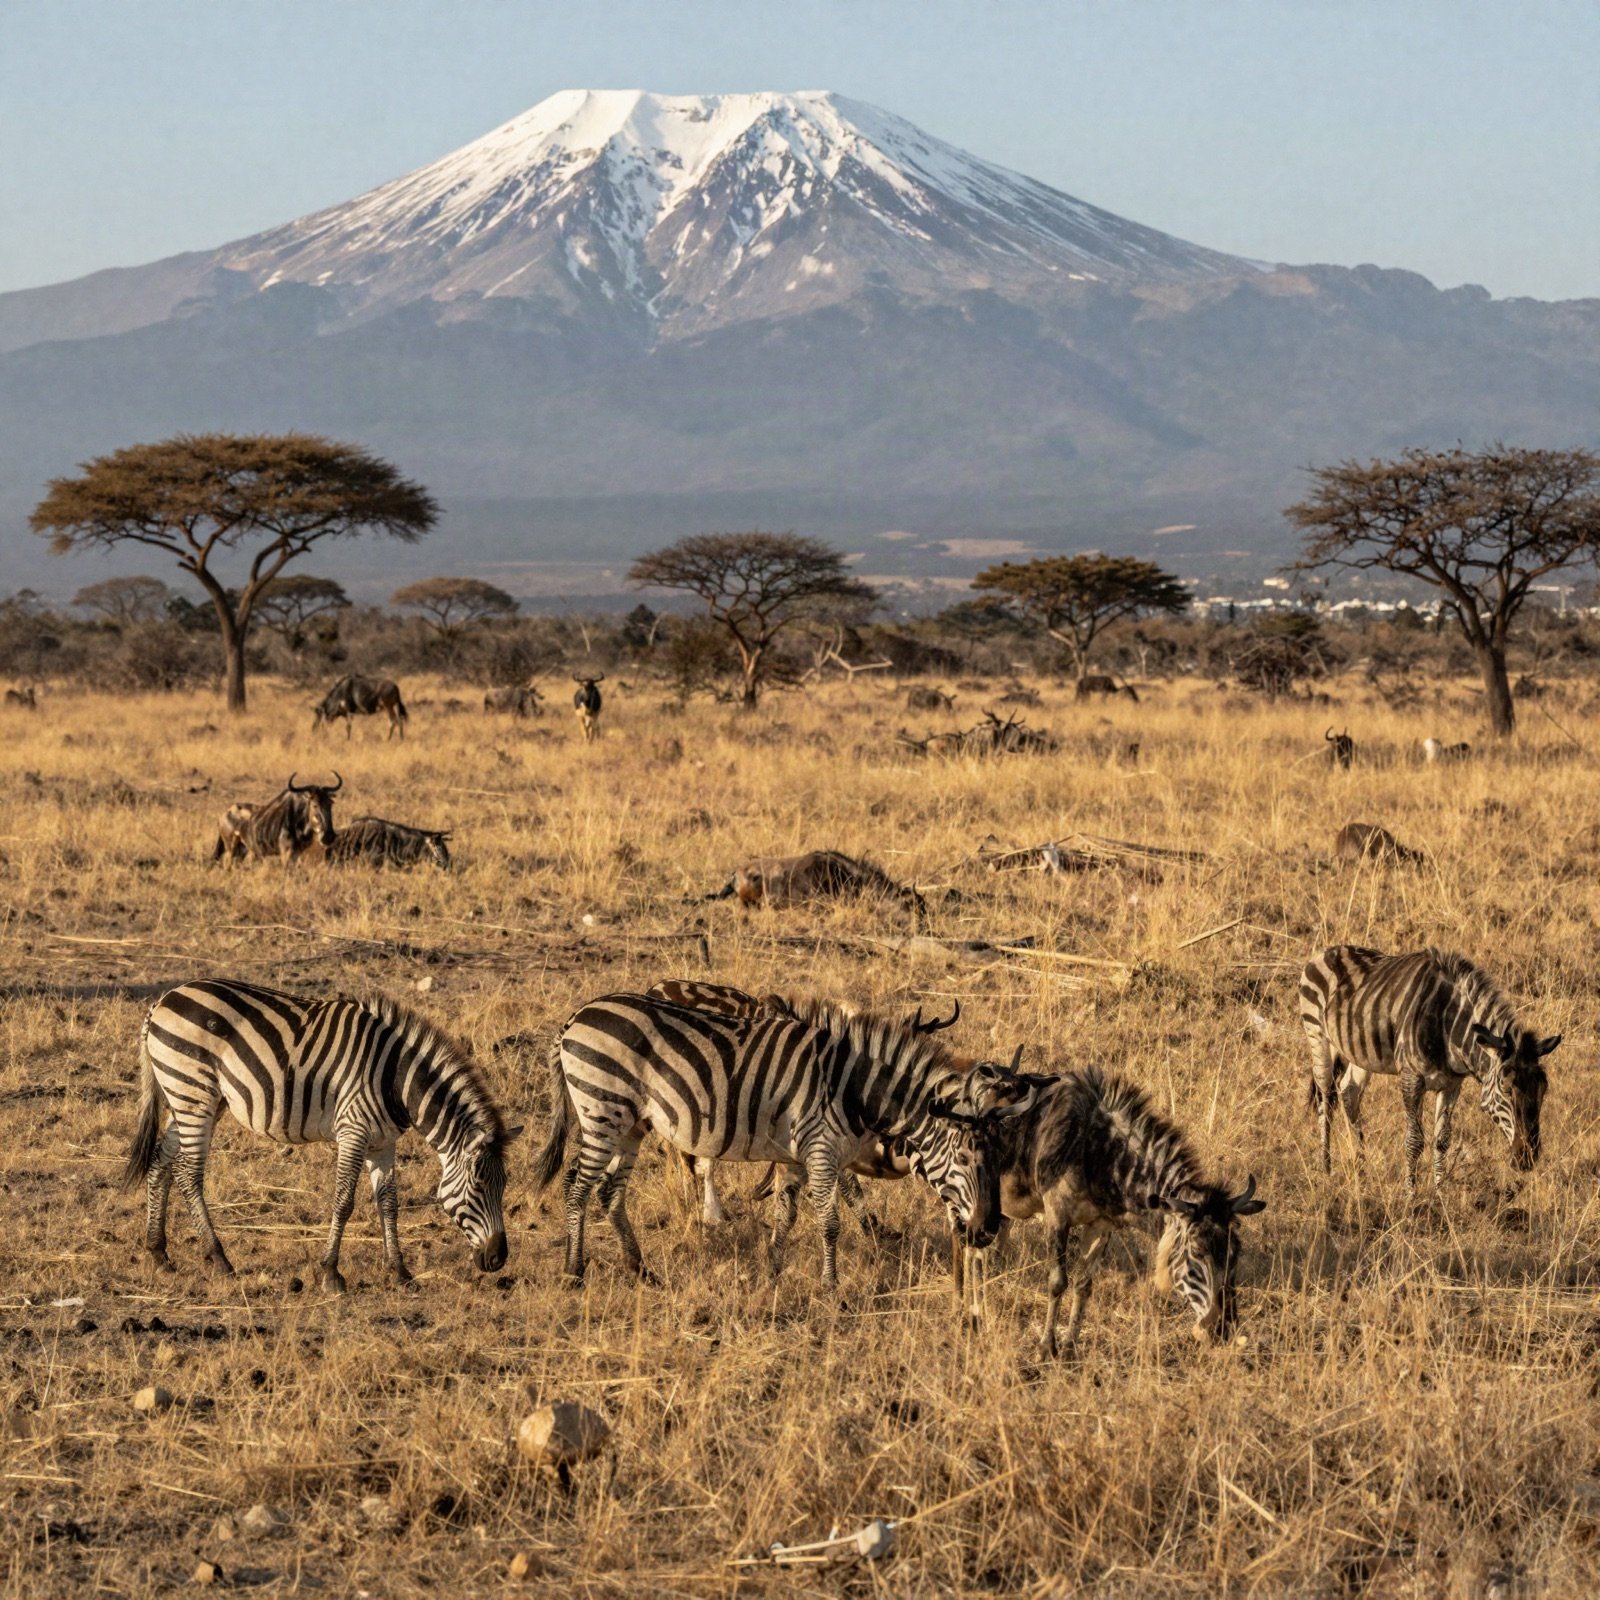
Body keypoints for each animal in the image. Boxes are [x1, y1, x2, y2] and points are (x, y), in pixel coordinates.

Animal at [123, 980, 518, 1291]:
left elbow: (388, 1204)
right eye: (480, 1187)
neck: (395, 1079)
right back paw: (219, 1258)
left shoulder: (384, 1142)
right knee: (188, 1174)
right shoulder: (353, 1131)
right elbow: (344, 1201)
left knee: (161, 1162)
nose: (499, 1259)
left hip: (189, 1097)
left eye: (503, 1187)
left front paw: (400, 1272)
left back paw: (159, 1253)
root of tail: (162, 1001)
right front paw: (330, 1273)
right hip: (193, 1092)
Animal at [532, 992, 1044, 1292]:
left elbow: (786, 1216)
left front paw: (772, 1274)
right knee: (577, 1187)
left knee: (607, 1192)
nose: (987, 1231)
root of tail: (575, 1018)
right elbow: (830, 1223)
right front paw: (831, 1288)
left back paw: (641, 1270)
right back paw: (574, 1272)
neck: (855, 1088)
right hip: (602, 1110)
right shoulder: (820, 1150)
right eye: (967, 1158)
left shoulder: (797, 1157)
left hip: (630, 1124)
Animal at [953, 1068, 1265, 1355]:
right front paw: (1045, 1347)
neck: (1099, 1153)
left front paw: (1070, 1346)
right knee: (965, 1246)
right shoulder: (1056, 1215)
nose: (1222, 1331)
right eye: (1198, 1253)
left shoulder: (1101, 1225)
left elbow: (1083, 1284)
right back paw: (967, 1312)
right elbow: (1057, 1281)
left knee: (976, 1250)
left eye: (1235, 1254)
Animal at [1299, 945, 1561, 1194]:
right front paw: (1411, 1195)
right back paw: (1326, 1168)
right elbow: (1414, 1140)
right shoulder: (1411, 1079)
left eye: (1543, 1092)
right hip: (1317, 1037)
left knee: (1348, 1091)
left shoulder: (1452, 1084)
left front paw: (1440, 1193)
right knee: (1325, 1098)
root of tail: (1330, 950)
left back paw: (1361, 1167)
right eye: (1506, 1090)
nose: (1526, 1160)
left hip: (1359, 1054)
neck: (1448, 1028)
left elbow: (1442, 1140)